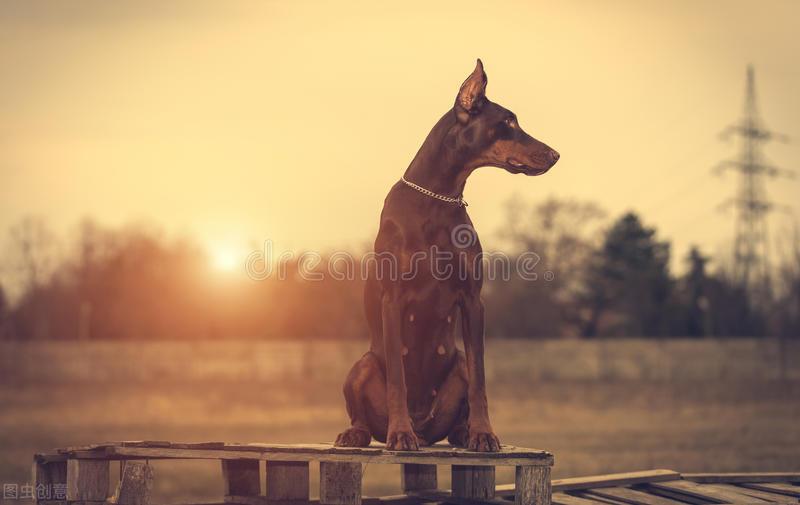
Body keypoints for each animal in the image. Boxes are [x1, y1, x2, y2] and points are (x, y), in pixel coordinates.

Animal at [334, 60, 560, 452]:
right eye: (509, 122)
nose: (555, 154)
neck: (438, 198)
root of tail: (426, 430)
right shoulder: (392, 299)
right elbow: (397, 379)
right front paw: (399, 434)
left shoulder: (472, 299)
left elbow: (481, 380)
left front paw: (484, 433)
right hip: (361, 365)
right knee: (363, 407)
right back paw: (361, 433)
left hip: (458, 366)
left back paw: (462, 432)